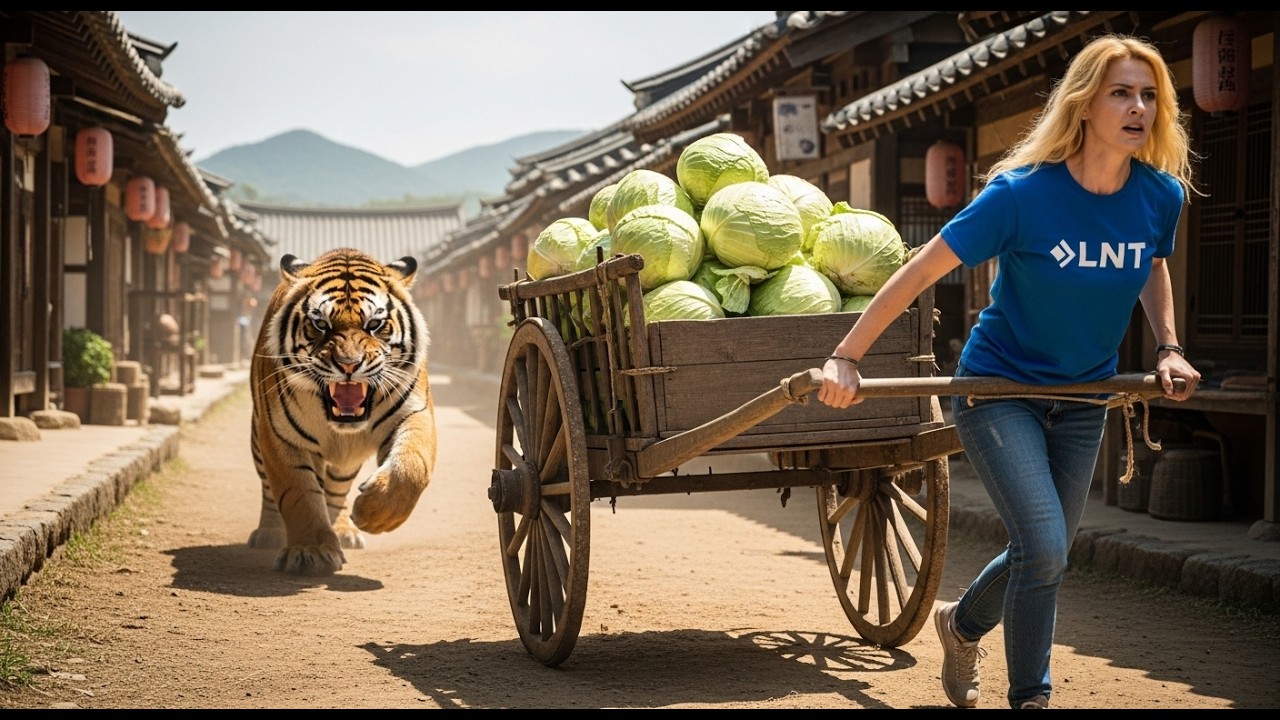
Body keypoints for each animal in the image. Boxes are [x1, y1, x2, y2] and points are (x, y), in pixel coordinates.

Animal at [247, 247, 437, 575]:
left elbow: (410, 468)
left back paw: (344, 531)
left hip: (345, 462)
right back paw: (270, 533)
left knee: (335, 492)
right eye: (321, 325)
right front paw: (309, 552)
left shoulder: (414, 413)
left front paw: (376, 515)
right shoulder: (279, 436)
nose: (349, 365)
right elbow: (298, 496)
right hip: (258, 440)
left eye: (374, 325)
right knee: (270, 491)